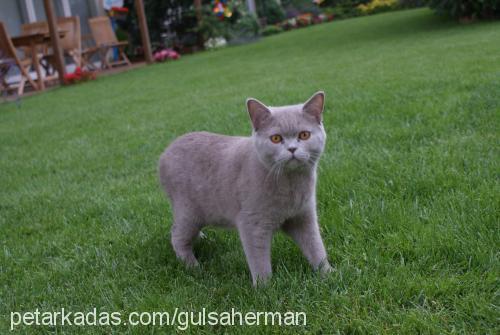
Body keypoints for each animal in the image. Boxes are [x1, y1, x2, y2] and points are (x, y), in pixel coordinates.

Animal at [159, 92, 332, 286]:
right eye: (276, 138)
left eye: (304, 135)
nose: (292, 149)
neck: (290, 183)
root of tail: (165, 153)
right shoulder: (252, 223)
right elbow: (259, 260)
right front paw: (264, 287)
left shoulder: (304, 216)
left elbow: (315, 246)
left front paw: (328, 274)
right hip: (188, 211)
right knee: (176, 236)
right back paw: (193, 267)